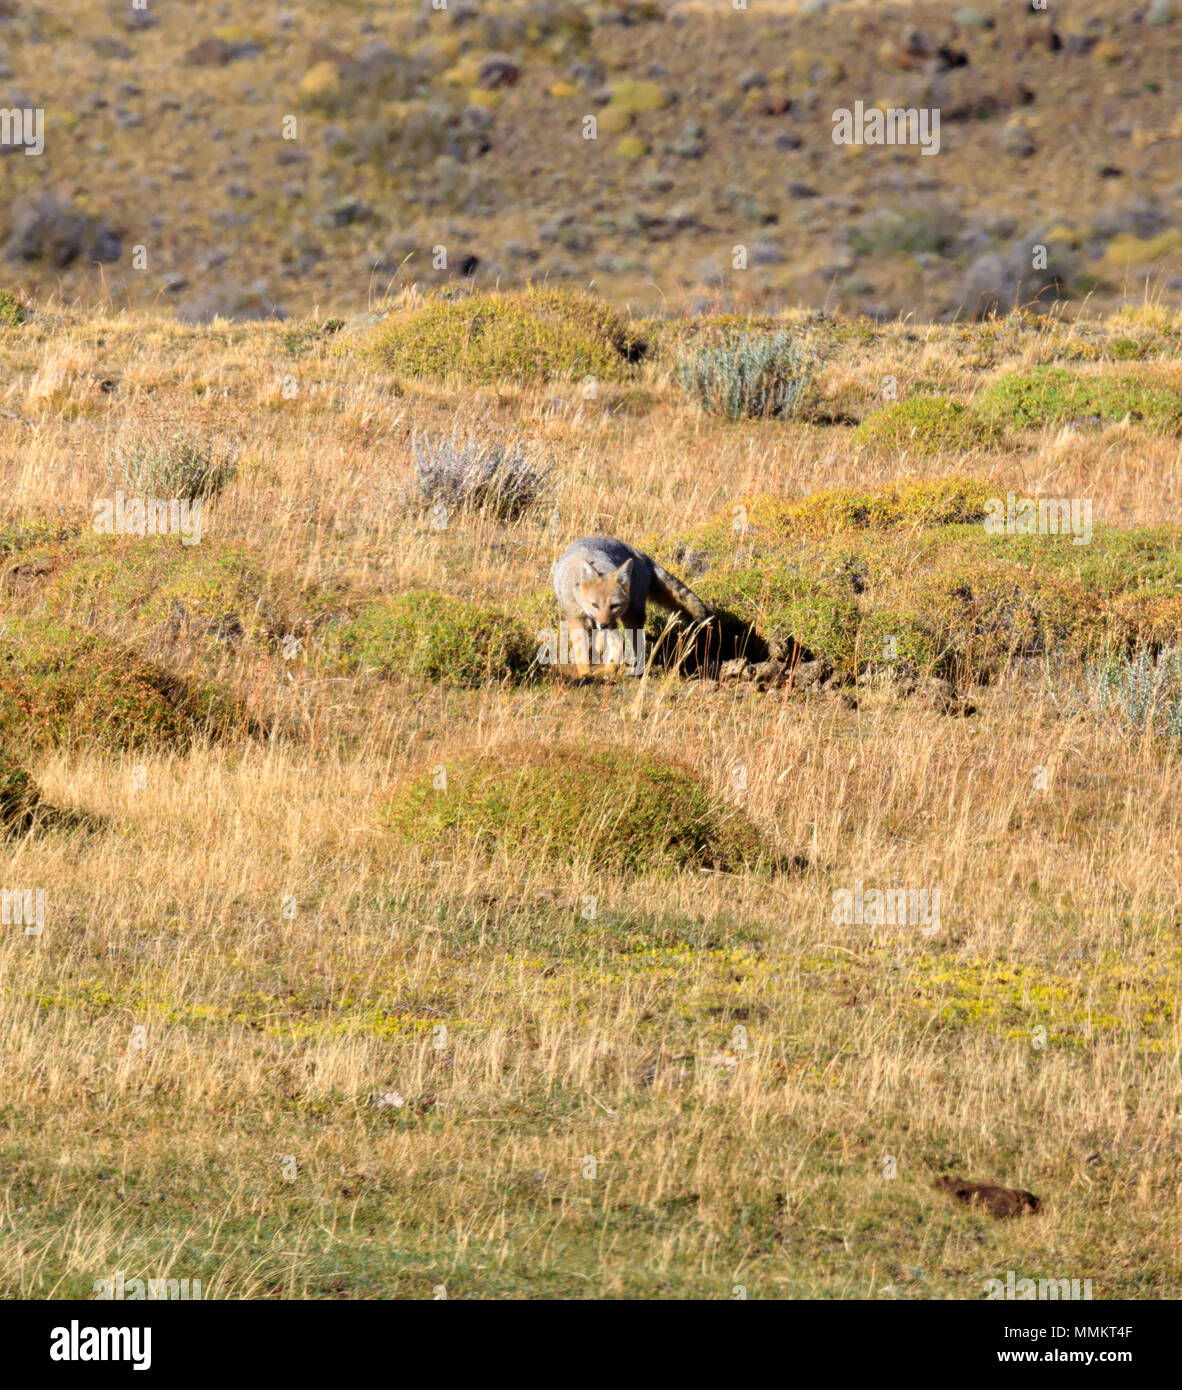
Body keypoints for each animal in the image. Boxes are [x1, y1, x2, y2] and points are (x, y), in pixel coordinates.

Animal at [552, 535, 710, 677]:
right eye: (594, 605)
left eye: (614, 605)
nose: (603, 624)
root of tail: (641, 555)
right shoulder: (576, 617)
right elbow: (582, 650)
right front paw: (585, 673)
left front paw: (590, 673)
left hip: (629, 618)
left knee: (630, 642)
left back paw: (622, 670)